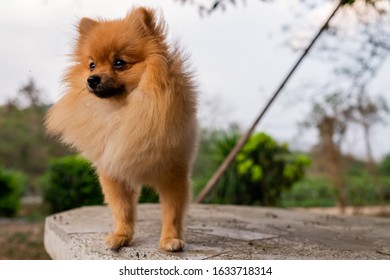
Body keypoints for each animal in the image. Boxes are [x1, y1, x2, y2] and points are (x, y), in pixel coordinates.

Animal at [45, 7, 198, 252]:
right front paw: (121, 236)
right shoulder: (114, 172)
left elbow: (172, 211)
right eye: (92, 65)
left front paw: (170, 239)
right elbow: (122, 209)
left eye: (119, 62)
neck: (124, 111)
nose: (91, 79)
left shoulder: (173, 173)